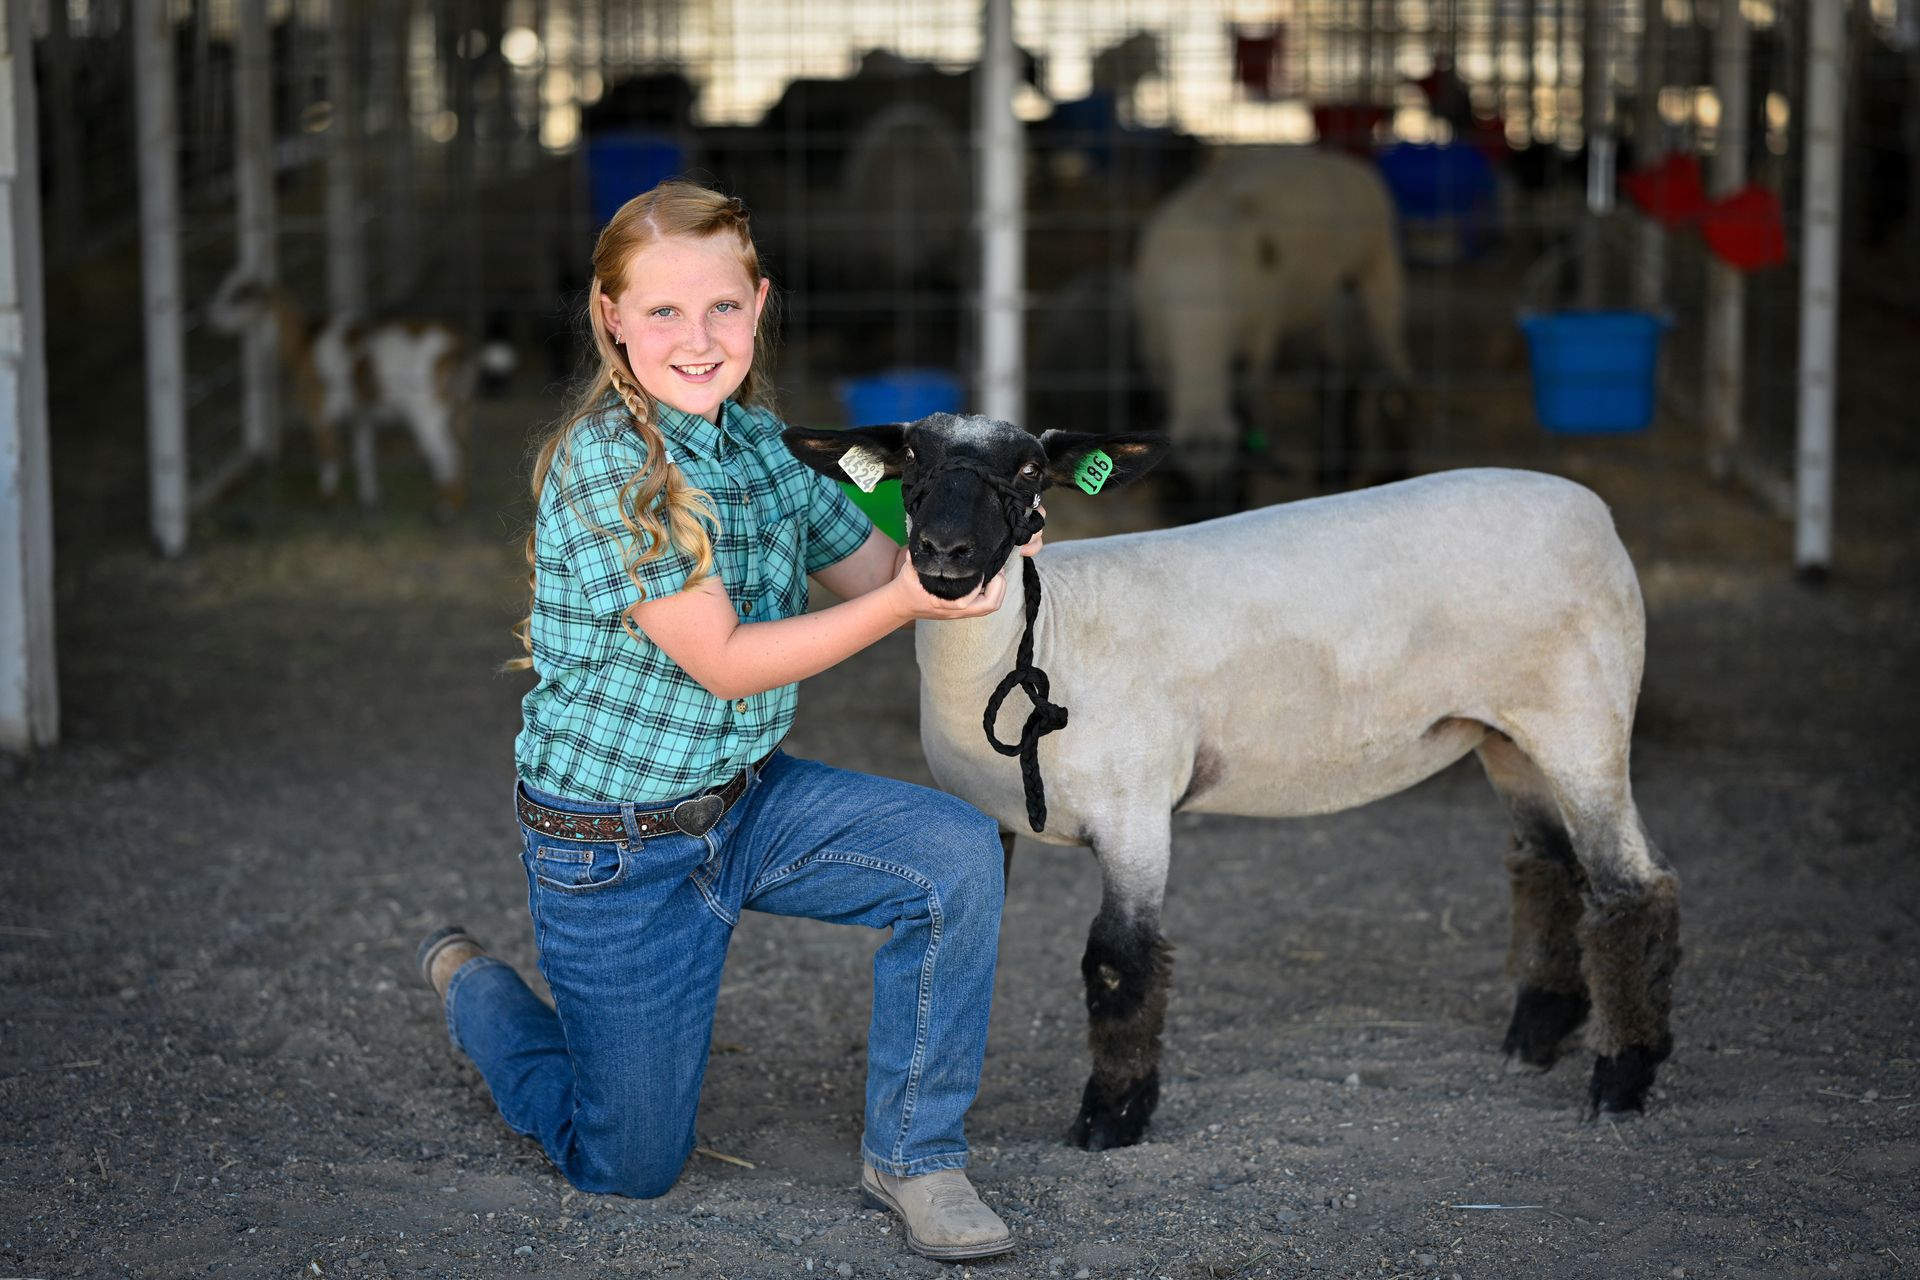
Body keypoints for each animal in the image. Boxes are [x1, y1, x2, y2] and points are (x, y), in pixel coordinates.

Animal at [207, 270, 500, 516]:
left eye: (238, 295)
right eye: (224, 287)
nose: (209, 314)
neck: (304, 340)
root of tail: (459, 348)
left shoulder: (318, 408)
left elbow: (329, 452)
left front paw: (327, 500)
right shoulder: (362, 415)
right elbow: (363, 454)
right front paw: (369, 499)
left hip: (427, 412)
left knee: (449, 455)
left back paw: (447, 509)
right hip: (462, 407)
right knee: (463, 450)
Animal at [783, 414, 1681, 1151]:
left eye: (1031, 471)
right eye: (912, 462)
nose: (944, 554)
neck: (1039, 639)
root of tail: (1592, 509)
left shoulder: (1136, 813)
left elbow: (1118, 964)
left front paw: (1112, 1118)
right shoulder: (980, 814)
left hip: (1585, 719)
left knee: (1632, 886)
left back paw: (1621, 1077)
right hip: (1508, 734)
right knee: (1550, 866)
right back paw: (1536, 1036)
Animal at [1132, 148, 1414, 508]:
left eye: (1237, 486)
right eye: (1179, 491)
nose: (1213, 514)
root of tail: (1342, 159)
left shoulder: (1258, 341)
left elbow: (1252, 406)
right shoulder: (1153, 352)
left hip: (1377, 268)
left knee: (1394, 372)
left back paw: (1392, 470)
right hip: (1325, 297)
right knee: (1336, 373)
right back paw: (1333, 469)